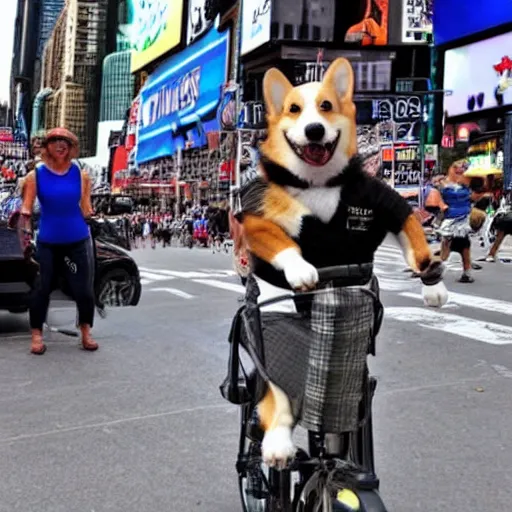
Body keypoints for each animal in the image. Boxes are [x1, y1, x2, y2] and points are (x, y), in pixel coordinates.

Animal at [240, 57, 448, 468]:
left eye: (326, 106)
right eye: (293, 109)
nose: (314, 130)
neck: (317, 183)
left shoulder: (388, 203)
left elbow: (415, 238)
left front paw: (433, 283)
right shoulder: (258, 215)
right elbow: (282, 239)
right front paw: (300, 268)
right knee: (275, 396)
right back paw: (277, 444)